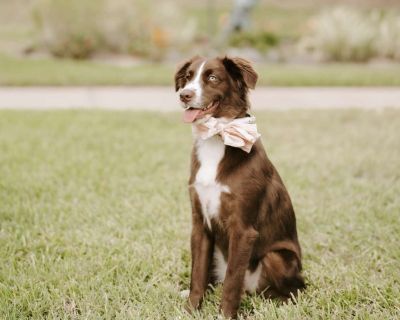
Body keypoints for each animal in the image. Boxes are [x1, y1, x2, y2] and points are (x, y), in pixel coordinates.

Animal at [174, 55, 304, 318]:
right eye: (188, 77)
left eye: (213, 78)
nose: (184, 95)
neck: (217, 136)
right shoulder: (200, 224)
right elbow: (197, 274)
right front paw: (191, 308)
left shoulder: (243, 230)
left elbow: (233, 279)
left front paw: (225, 314)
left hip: (277, 257)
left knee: (292, 290)